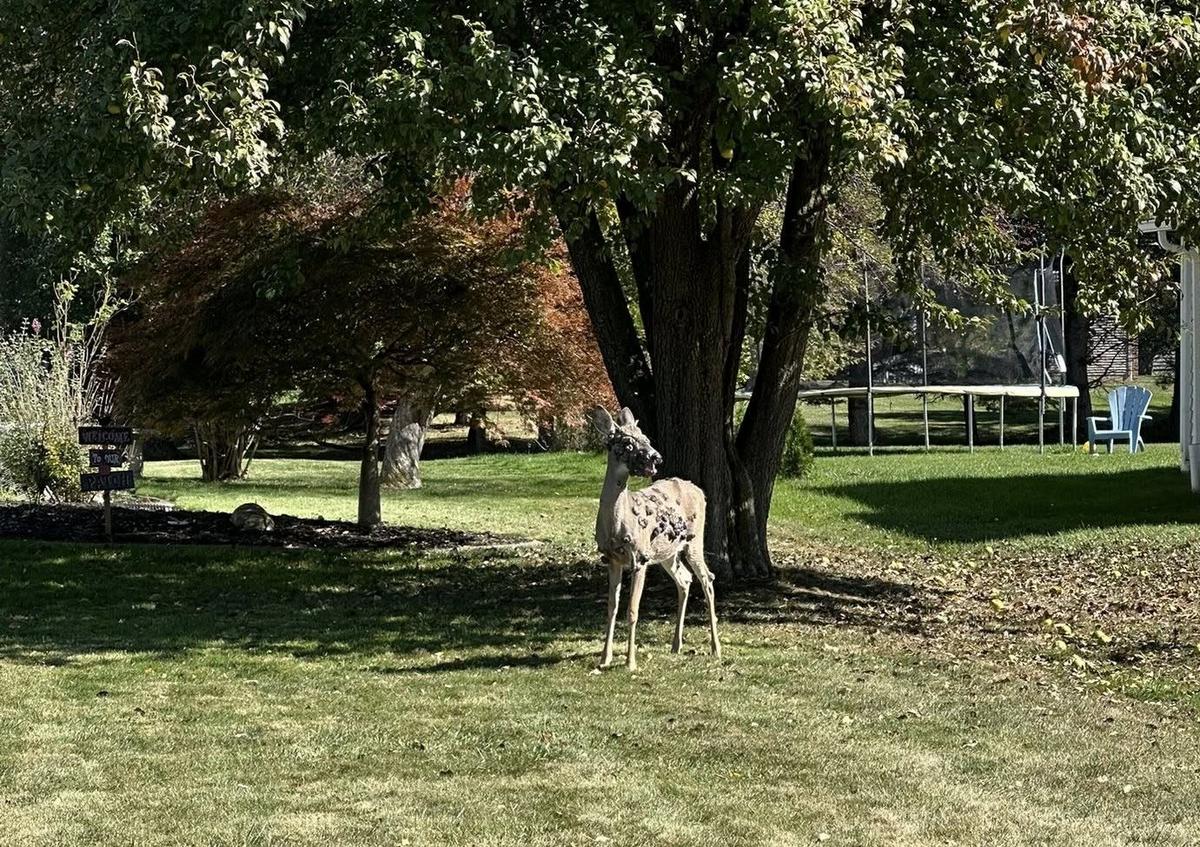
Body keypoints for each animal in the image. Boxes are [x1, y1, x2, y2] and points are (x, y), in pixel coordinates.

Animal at [588, 406, 721, 671]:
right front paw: (604, 659)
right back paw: (676, 645)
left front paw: (630, 662)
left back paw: (716, 648)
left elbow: (632, 610)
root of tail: (699, 491)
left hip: (694, 540)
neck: (617, 524)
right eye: (627, 444)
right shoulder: (612, 559)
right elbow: (611, 607)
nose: (656, 458)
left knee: (707, 578)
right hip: (667, 552)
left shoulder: (640, 557)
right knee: (685, 579)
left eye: (647, 438)